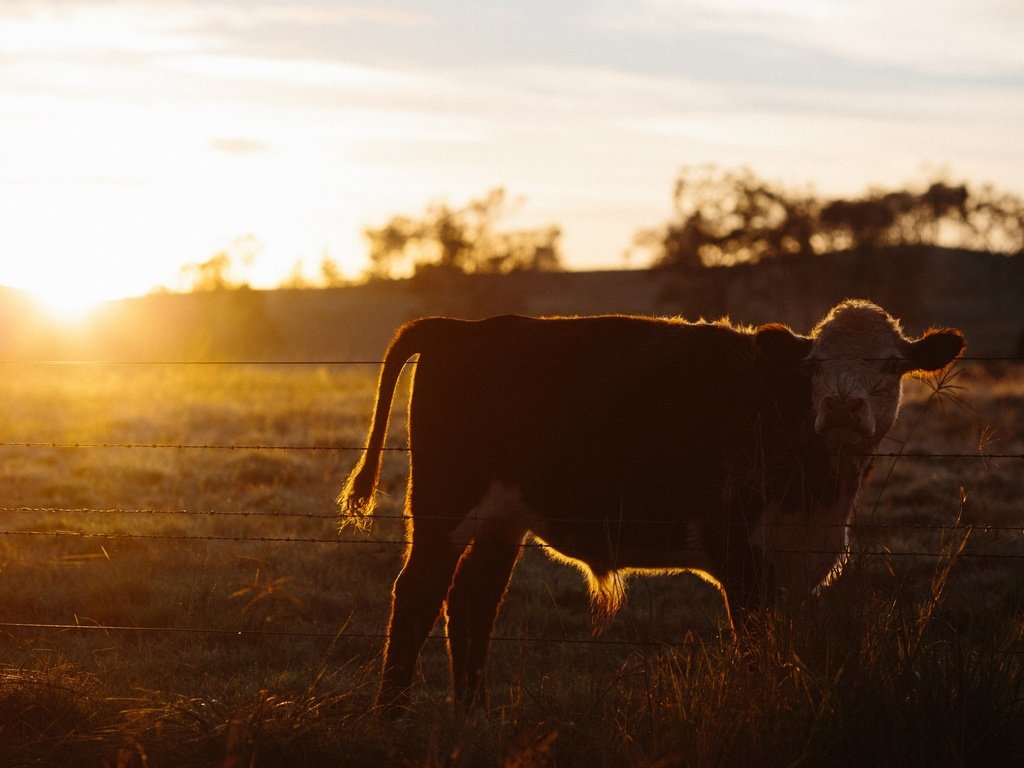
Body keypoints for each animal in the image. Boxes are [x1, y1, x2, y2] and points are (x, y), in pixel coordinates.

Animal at [335, 296, 958, 712]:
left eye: (891, 364)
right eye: (813, 365)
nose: (843, 407)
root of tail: (461, 328)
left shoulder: (795, 562)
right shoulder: (740, 556)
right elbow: (755, 652)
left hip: (501, 519)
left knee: (472, 601)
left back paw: (474, 716)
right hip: (443, 505)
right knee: (417, 595)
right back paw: (391, 717)